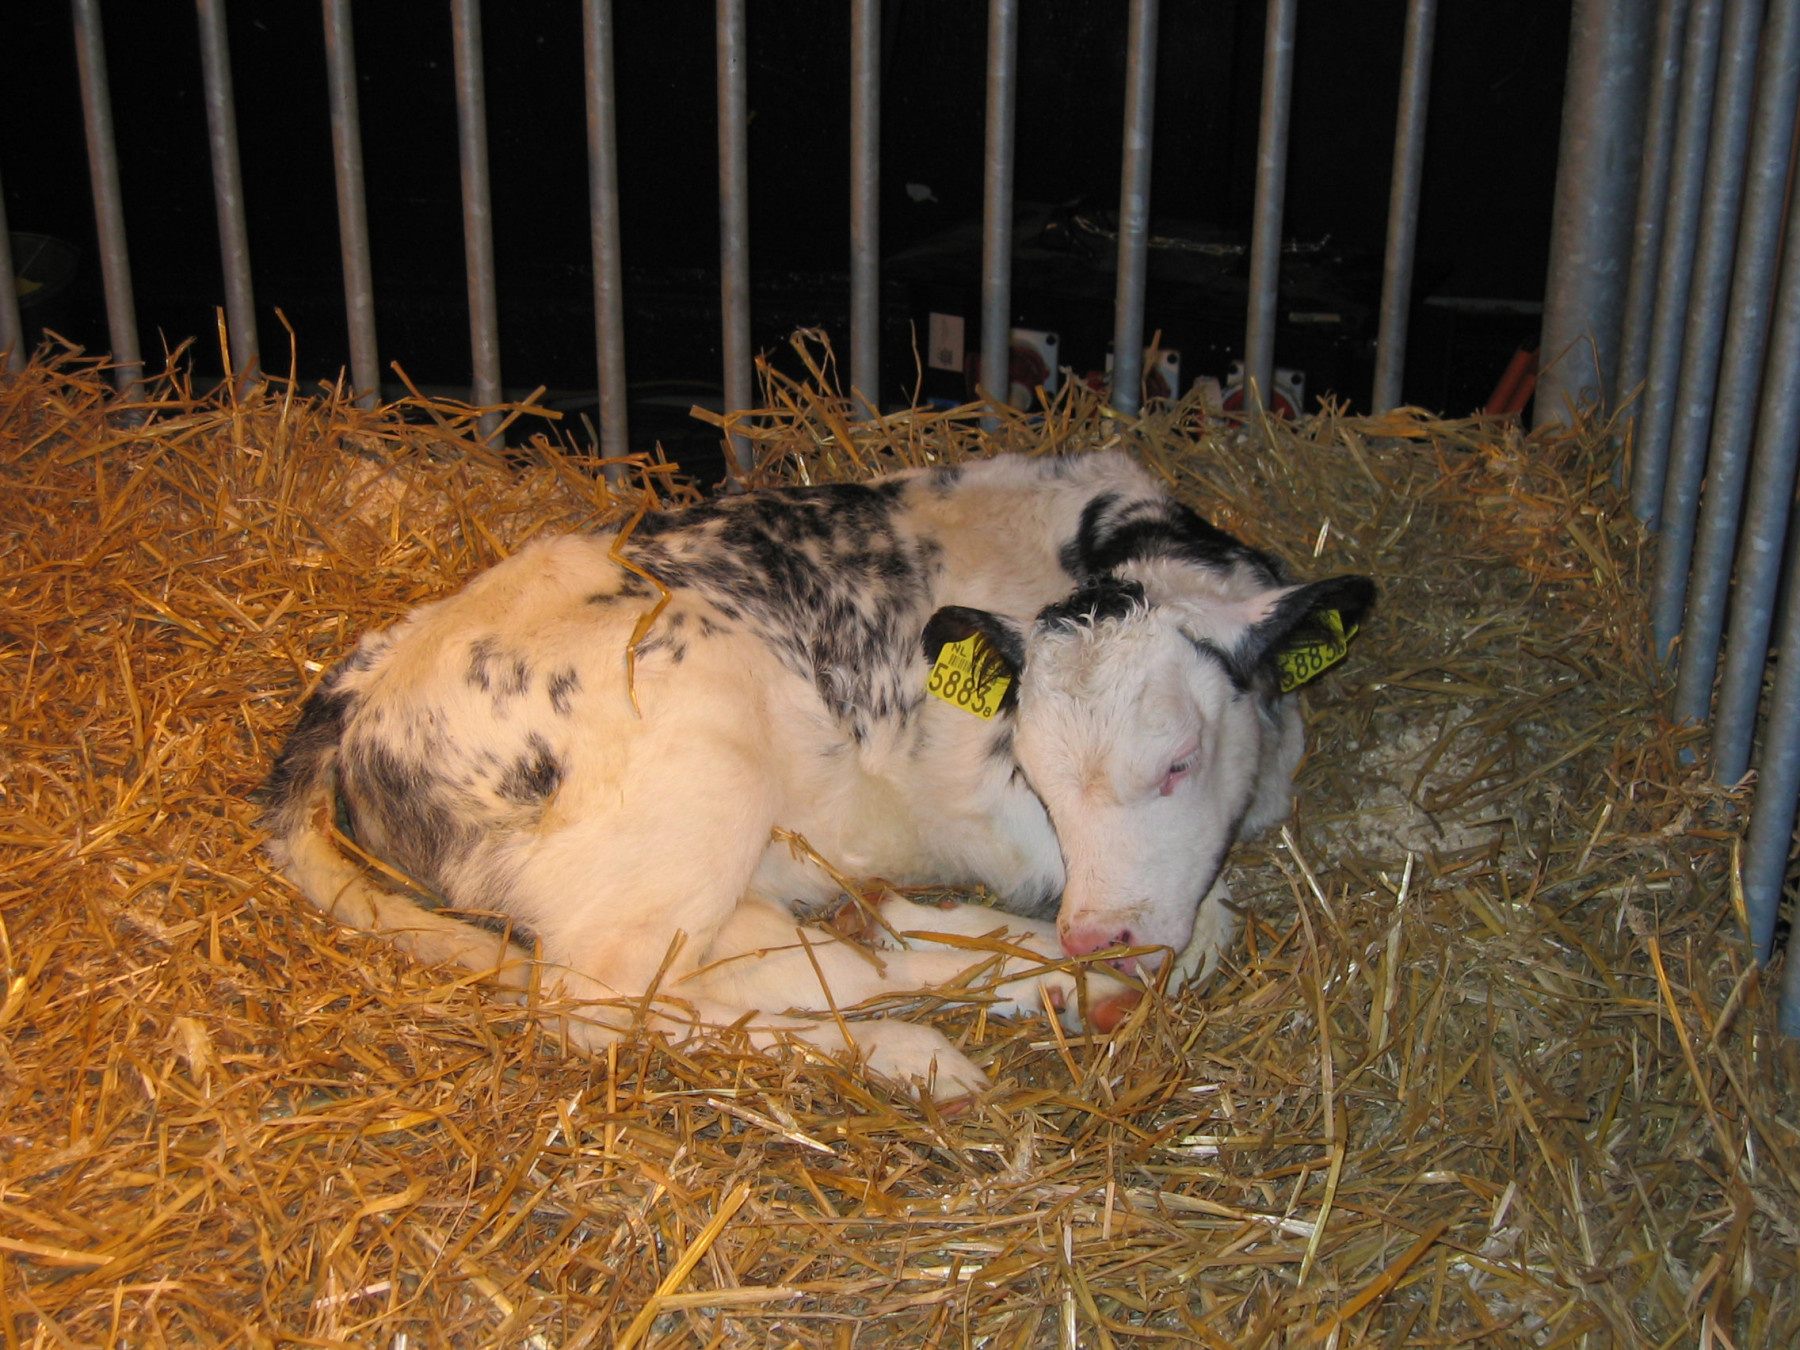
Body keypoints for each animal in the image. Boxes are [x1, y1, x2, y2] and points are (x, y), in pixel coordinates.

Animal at [263, 450, 1373, 1101]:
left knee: (781, 958)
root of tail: (373, 673)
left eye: (1180, 759)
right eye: (1037, 774)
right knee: (600, 1007)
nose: (1098, 933)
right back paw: (931, 1045)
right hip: (701, 779)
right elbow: (1207, 928)